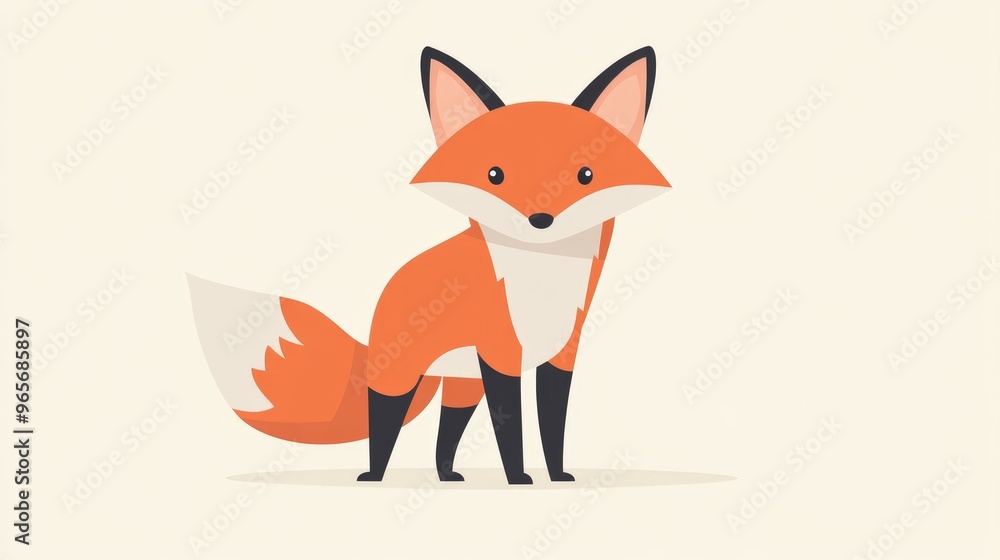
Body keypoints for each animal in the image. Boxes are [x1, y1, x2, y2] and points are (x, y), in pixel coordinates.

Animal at [188, 46, 672, 485]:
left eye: (585, 175)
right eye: (494, 175)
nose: (540, 219)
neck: (540, 278)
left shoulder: (561, 356)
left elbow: (553, 427)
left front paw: (557, 476)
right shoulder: (500, 354)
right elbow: (512, 430)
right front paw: (518, 479)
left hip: (463, 384)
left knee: (446, 431)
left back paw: (446, 475)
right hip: (401, 378)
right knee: (384, 426)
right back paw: (373, 477)